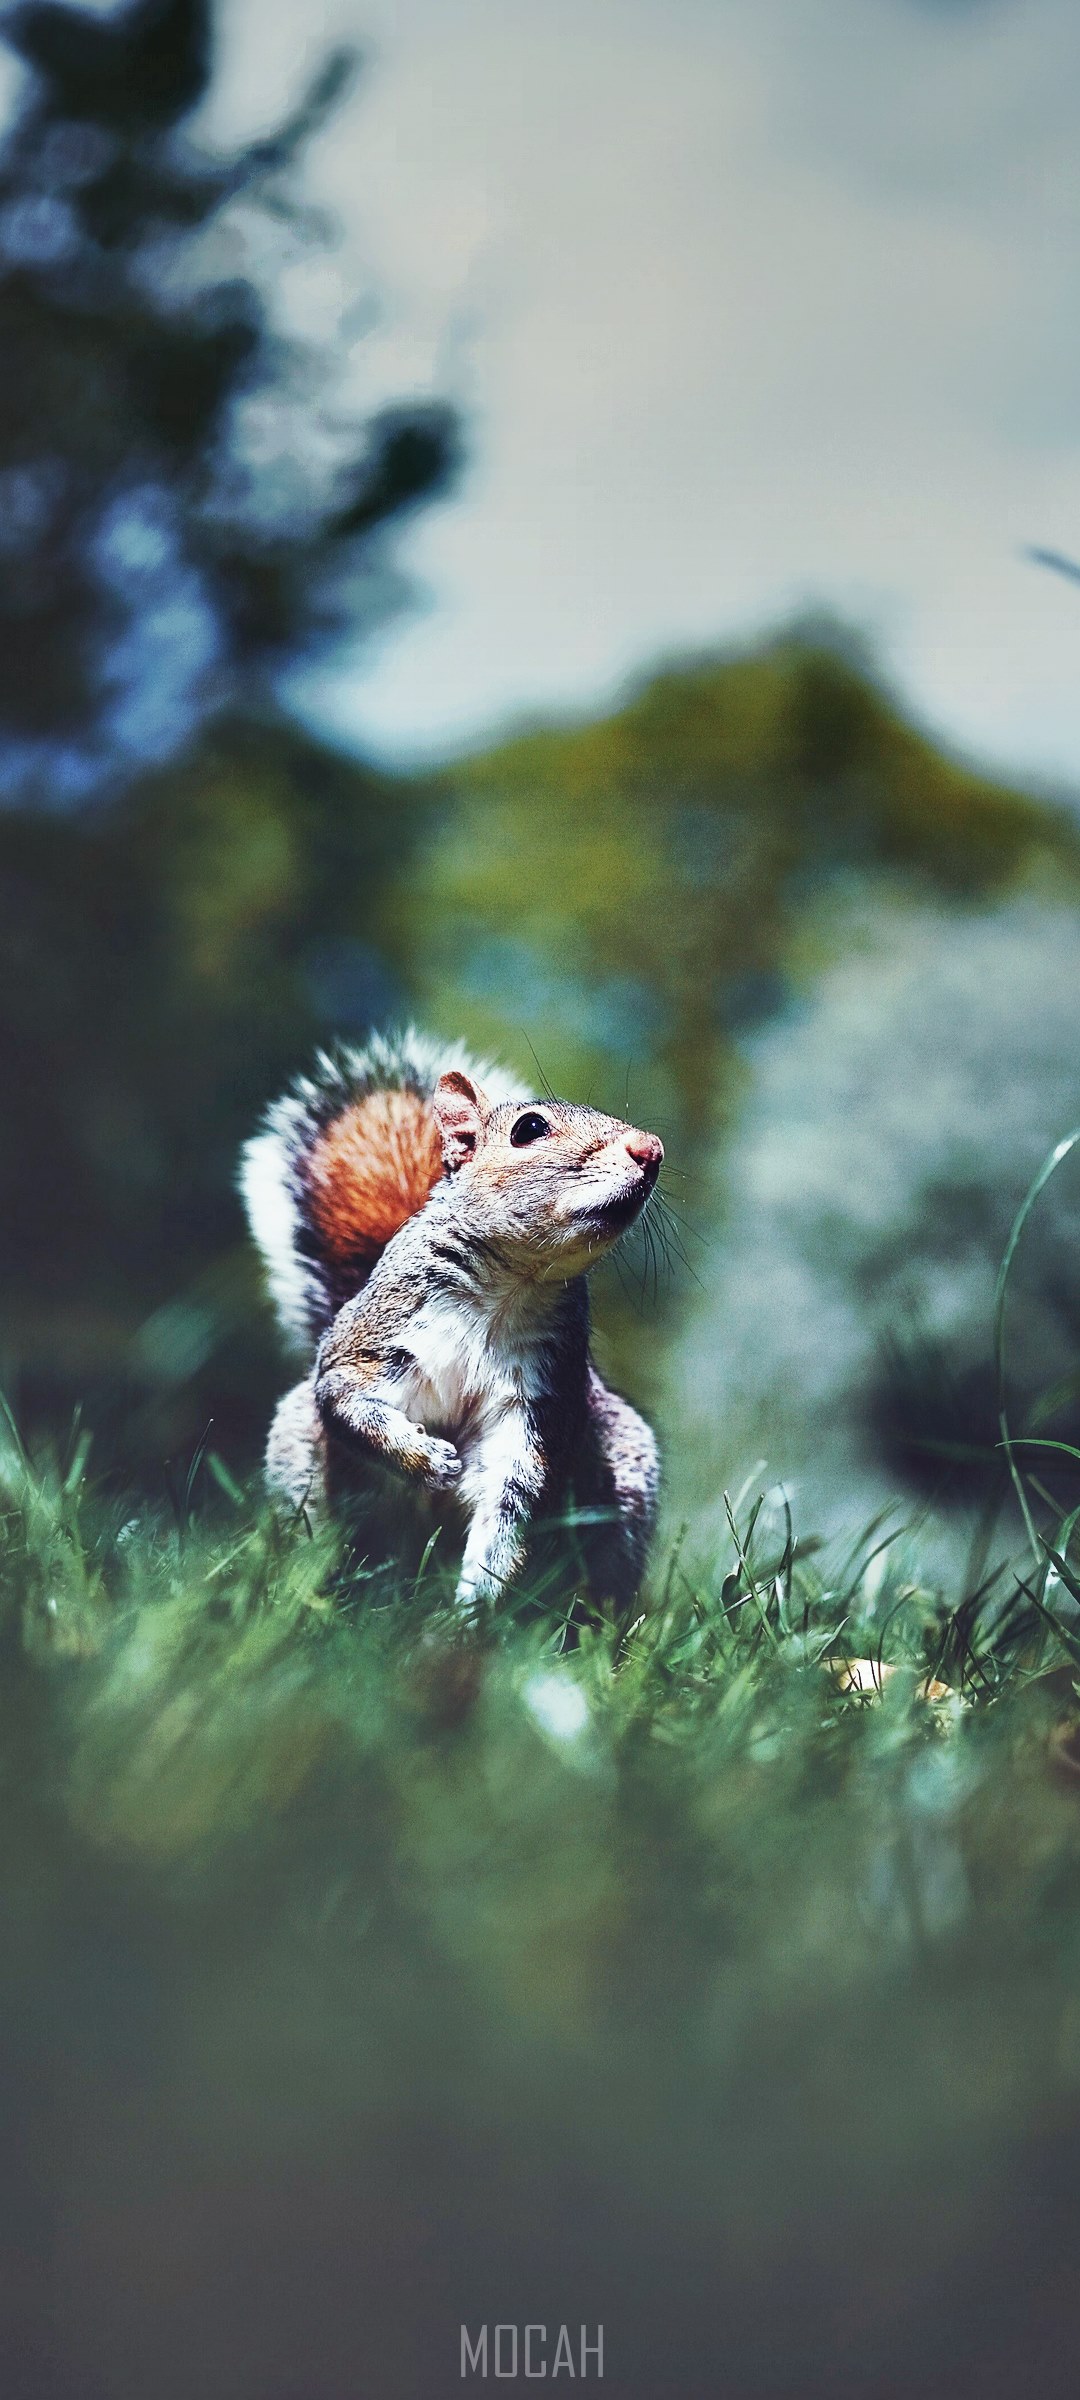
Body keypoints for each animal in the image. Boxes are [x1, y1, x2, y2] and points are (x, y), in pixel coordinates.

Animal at [240, 1027, 664, 1614]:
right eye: (529, 1128)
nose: (652, 1150)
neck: (509, 1286)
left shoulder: (536, 1400)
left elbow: (507, 1511)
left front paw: (474, 1610)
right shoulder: (373, 1340)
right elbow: (348, 1403)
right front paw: (424, 1458)